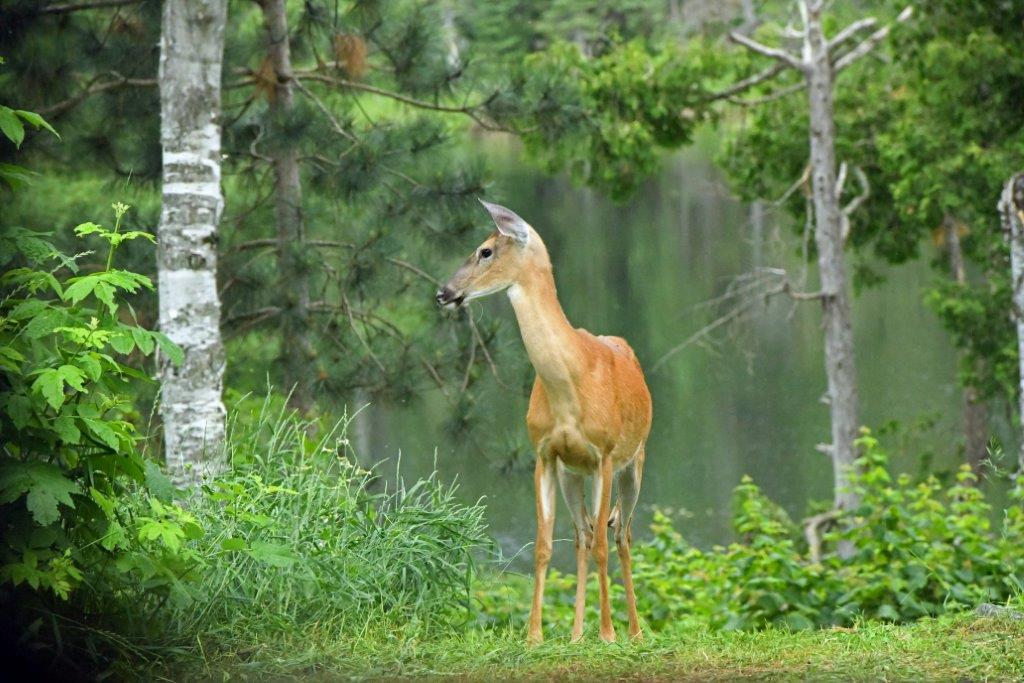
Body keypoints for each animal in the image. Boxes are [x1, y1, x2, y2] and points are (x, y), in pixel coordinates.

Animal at [436, 199, 653, 644]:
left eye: (485, 250)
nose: (443, 293)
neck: (571, 383)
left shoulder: (605, 454)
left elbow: (604, 543)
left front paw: (608, 634)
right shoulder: (545, 453)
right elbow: (543, 543)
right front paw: (534, 635)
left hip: (634, 460)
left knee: (620, 534)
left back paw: (634, 631)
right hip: (574, 474)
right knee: (584, 532)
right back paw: (576, 634)